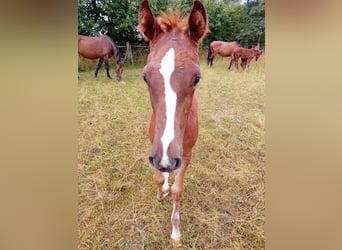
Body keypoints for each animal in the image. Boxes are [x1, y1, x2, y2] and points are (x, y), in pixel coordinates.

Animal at [138, 0, 208, 244]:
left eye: (197, 78)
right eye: (145, 77)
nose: (166, 158)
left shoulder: (185, 154)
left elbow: (178, 190)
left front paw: (176, 232)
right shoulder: (156, 147)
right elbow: (158, 177)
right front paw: (161, 193)